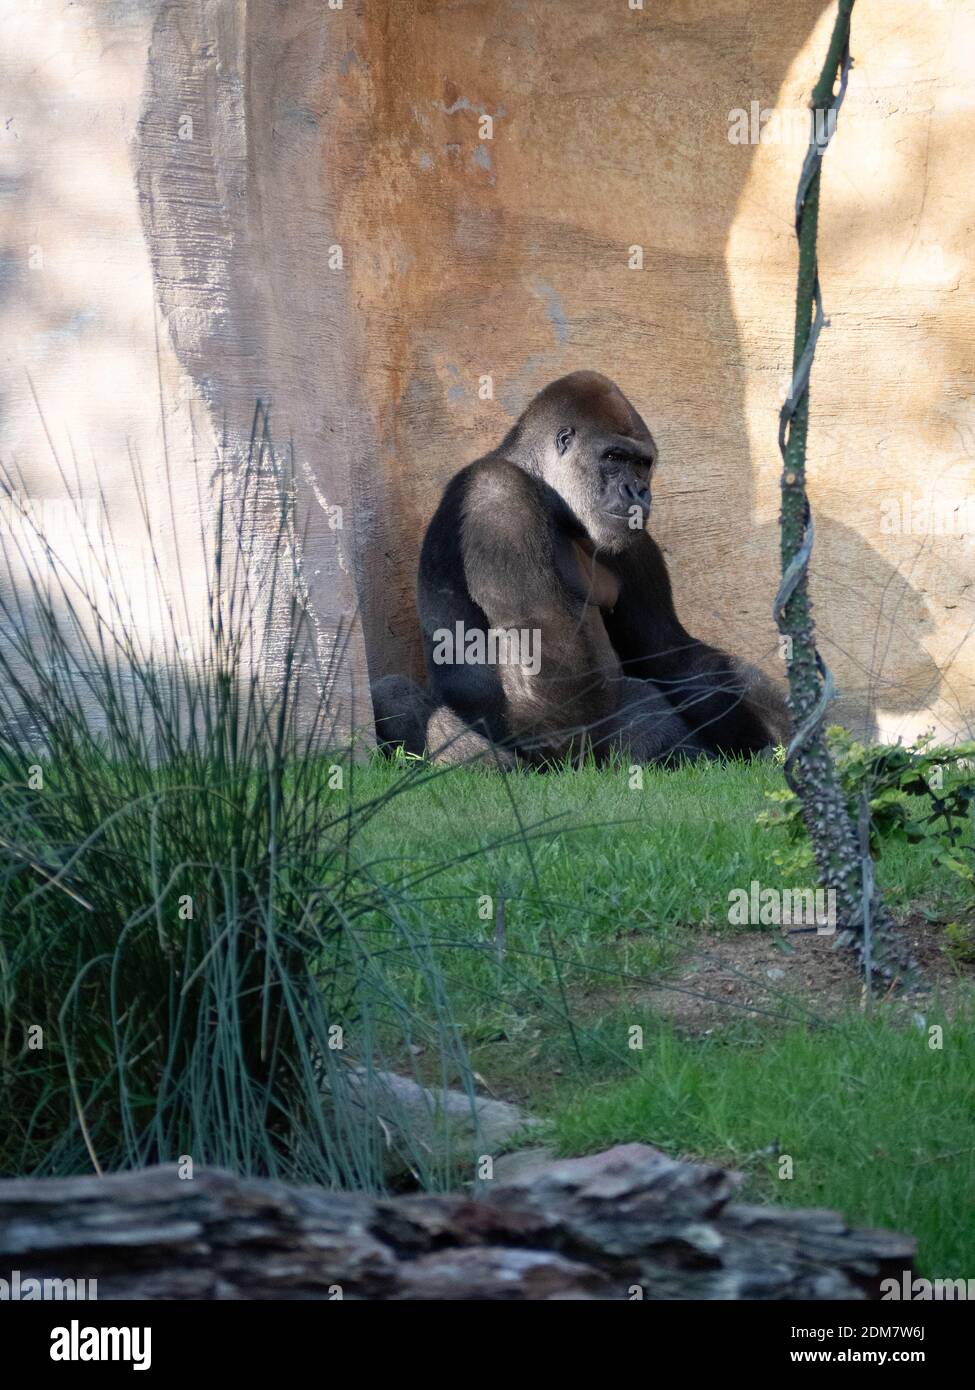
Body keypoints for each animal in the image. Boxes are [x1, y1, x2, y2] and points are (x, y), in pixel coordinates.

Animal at [372, 371, 790, 766]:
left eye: (642, 464)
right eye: (614, 458)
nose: (639, 491)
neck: (549, 495)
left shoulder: (633, 543)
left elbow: (671, 652)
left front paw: (761, 736)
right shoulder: (497, 497)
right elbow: (550, 665)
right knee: (393, 695)